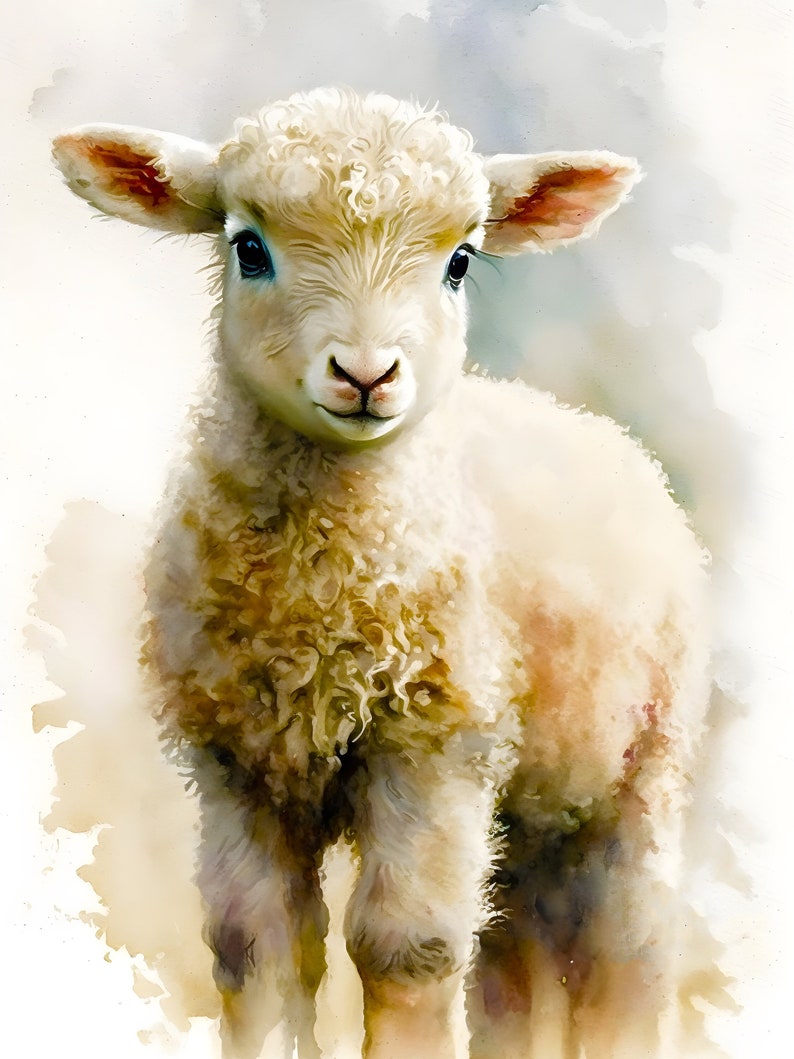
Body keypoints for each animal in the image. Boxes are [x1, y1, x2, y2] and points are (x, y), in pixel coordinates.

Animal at [52, 87, 710, 1059]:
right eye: (249, 247)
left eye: (461, 261)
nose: (366, 374)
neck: (319, 603)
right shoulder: (236, 758)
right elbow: (257, 944)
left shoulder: (435, 739)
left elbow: (408, 947)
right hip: (528, 786)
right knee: (512, 953)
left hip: (640, 764)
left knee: (626, 949)